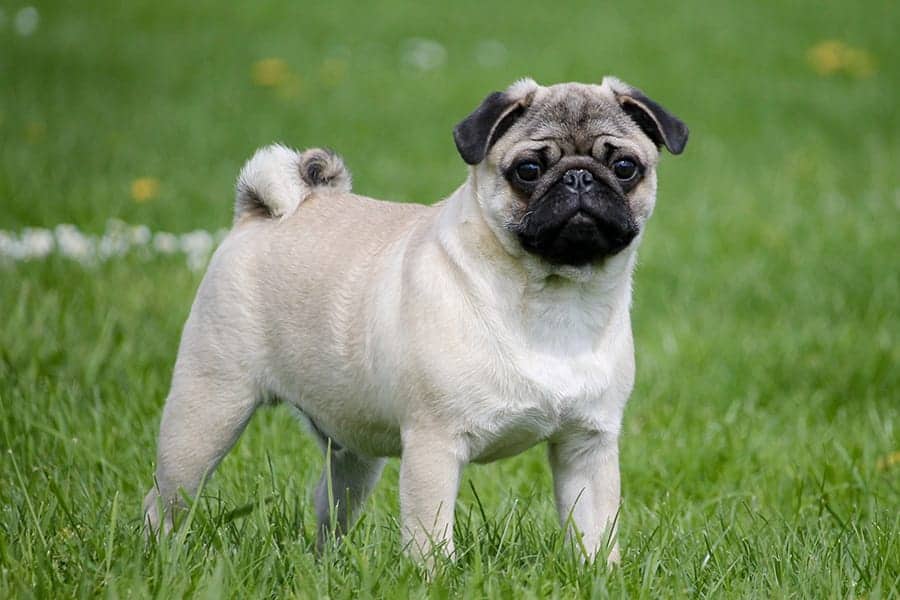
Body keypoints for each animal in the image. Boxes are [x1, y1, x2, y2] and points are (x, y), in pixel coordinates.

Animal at [142, 77, 688, 564]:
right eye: (529, 170)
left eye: (624, 166)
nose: (579, 177)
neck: (555, 296)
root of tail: (262, 213)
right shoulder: (434, 445)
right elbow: (430, 540)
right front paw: (435, 580)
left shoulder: (587, 447)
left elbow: (595, 533)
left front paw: (600, 577)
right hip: (207, 414)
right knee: (163, 500)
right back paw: (157, 559)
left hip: (353, 454)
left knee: (330, 507)